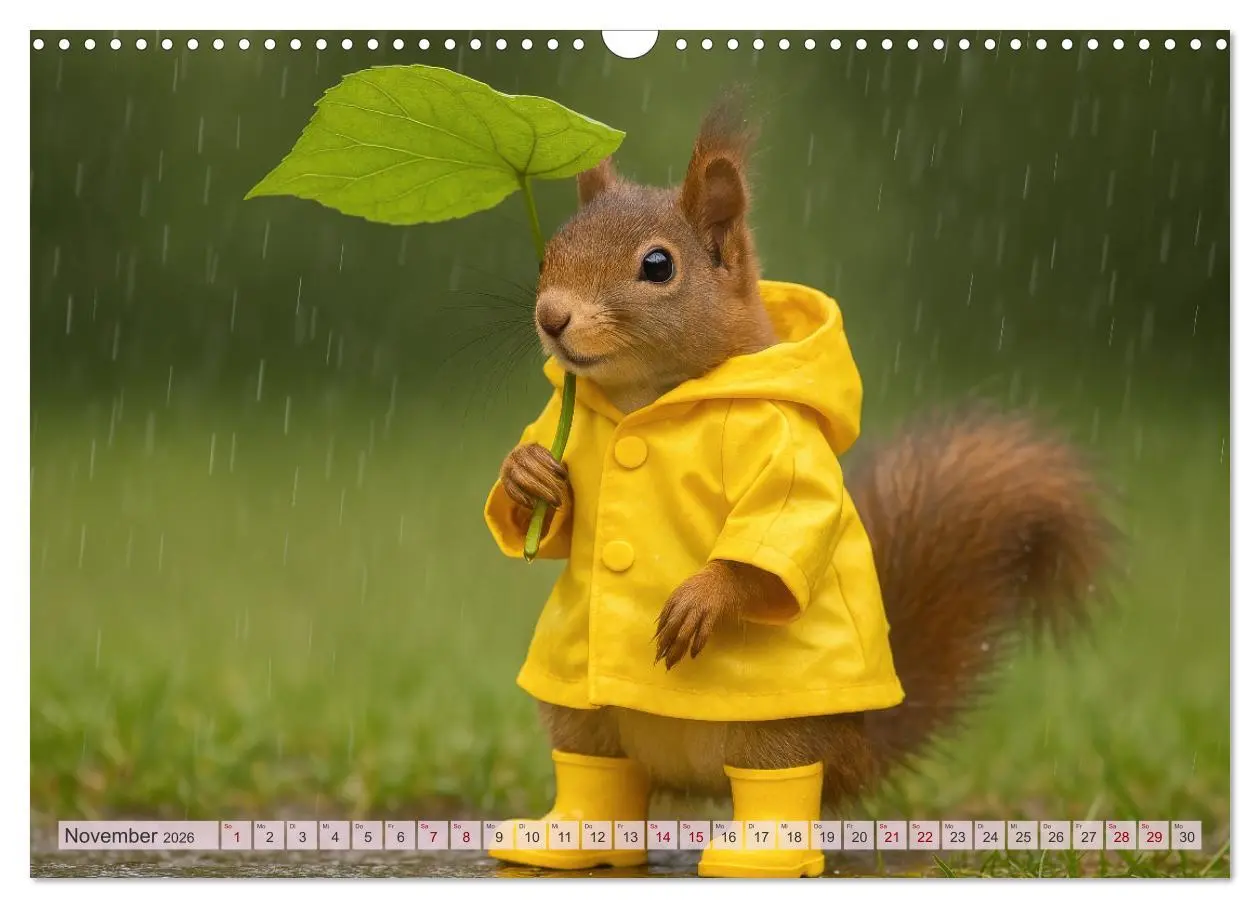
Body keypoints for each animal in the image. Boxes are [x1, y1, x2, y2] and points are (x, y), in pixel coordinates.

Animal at [486, 95, 1116, 877]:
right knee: (599, 767)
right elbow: (555, 528)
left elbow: (780, 525)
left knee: (777, 781)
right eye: (549, 252)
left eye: (658, 266)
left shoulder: (782, 445)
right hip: (578, 704)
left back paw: (761, 855)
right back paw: (565, 838)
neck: (645, 405)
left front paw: (703, 597)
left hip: (777, 726)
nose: (552, 317)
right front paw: (526, 474)